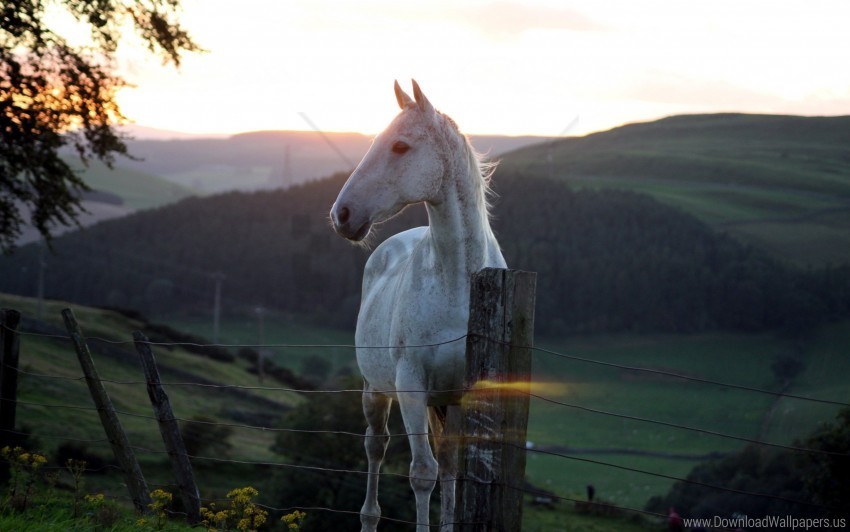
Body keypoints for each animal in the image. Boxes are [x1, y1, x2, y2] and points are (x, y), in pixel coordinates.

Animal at [330, 80, 504, 532]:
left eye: (400, 146)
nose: (342, 214)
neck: (459, 282)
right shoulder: (410, 385)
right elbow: (422, 473)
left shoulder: (463, 394)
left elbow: (451, 469)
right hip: (376, 391)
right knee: (376, 447)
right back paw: (369, 518)